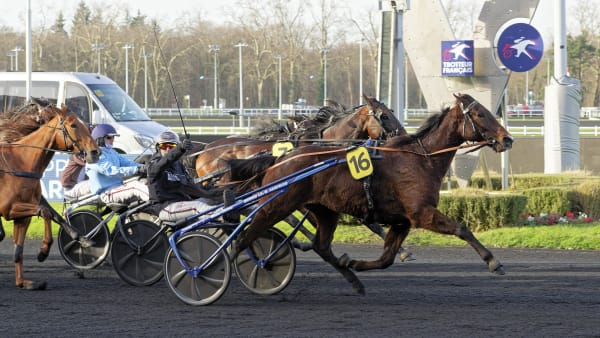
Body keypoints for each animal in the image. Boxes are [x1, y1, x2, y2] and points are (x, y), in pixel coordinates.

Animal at [0, 99, 99, 290]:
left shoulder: (22, 215)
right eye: (73, 125)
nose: (95, 152)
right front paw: (44, 251)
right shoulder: (8, 209)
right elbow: (45, 211)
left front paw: (23, 282)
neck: (21, 163)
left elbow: (19, 250)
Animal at [232, 93, 512, 294]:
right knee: (244, 238)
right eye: (479, 113)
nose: (507, 139)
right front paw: (493, 262)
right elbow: (462, 229)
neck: (421, 160)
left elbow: (387, 258)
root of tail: (279, 159)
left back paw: (352, 278)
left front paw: (354, 263)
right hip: (277, 204)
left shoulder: (402, 221)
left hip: (325, 211)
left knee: (321, 246)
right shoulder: (421, 213)